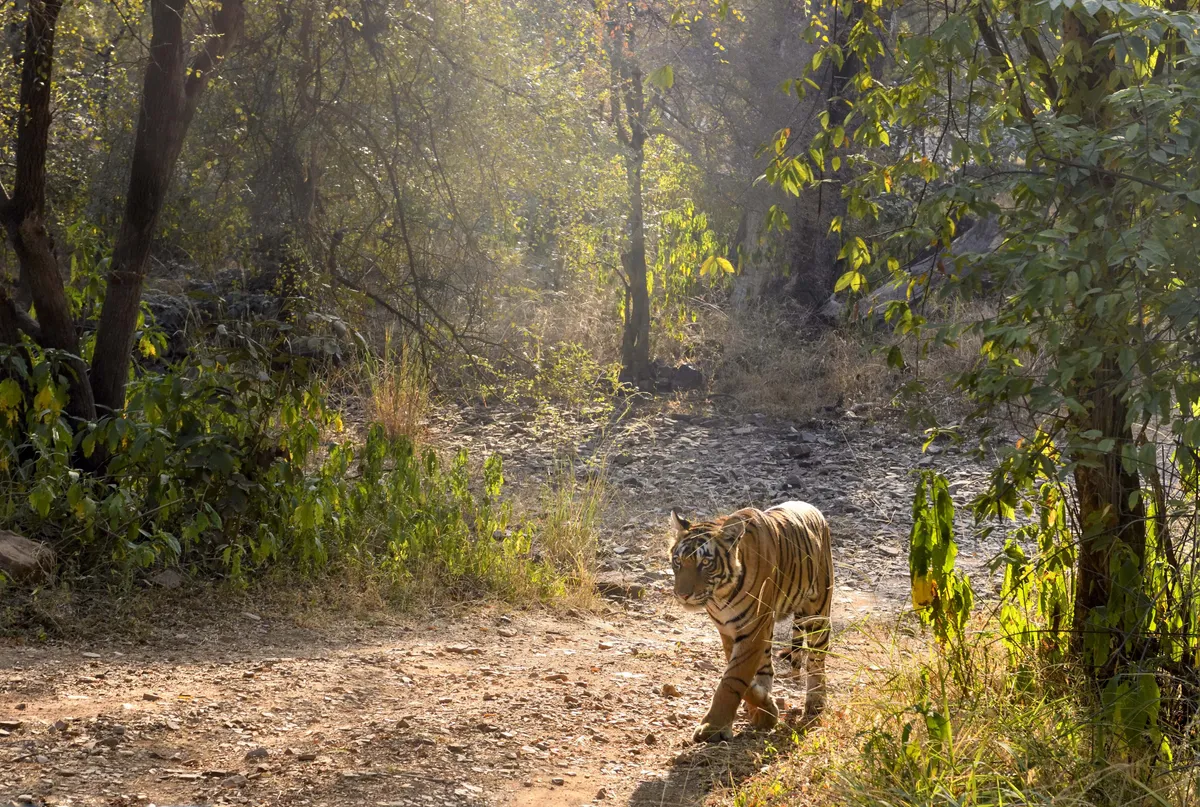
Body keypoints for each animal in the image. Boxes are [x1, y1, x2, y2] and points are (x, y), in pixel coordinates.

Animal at [668, 500, 833, 743]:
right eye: (678, 561)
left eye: (705, 562)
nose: (683, 595)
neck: (720, 595)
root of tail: (813, 509)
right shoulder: (728, 631)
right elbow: (739, 676)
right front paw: (764, 709)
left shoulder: (752, 629)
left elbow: (732, 679)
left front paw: (713, 727)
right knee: (767, 667)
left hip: (818, 613)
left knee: (816, 661)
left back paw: (815, 702)